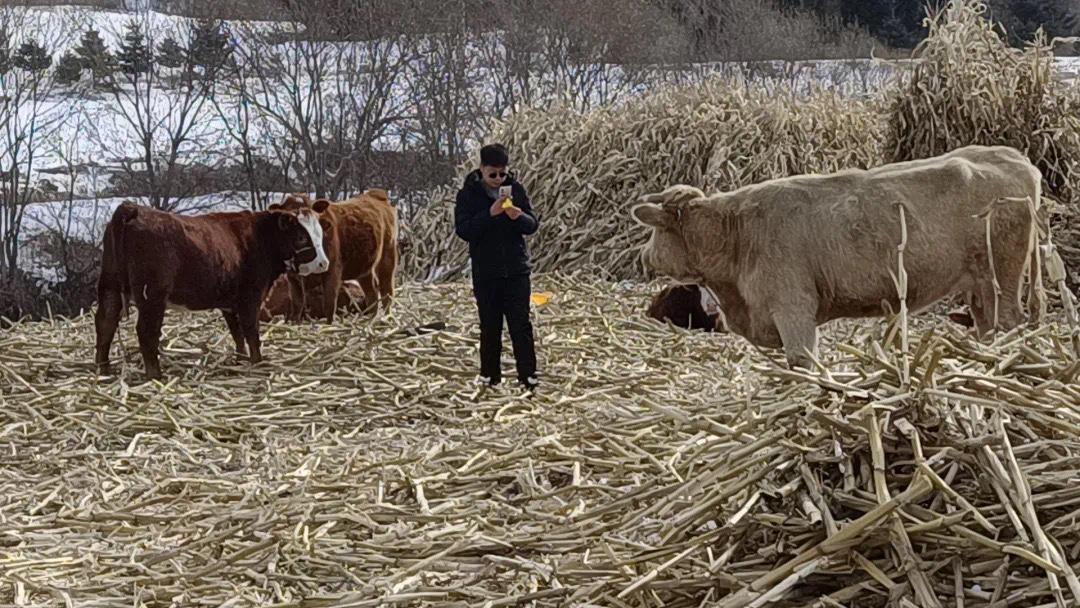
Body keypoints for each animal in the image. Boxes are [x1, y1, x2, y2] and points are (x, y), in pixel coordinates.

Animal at [92, 201, 328, 377]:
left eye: (320, 234)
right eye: (301, 237)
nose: (323, 263)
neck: (259, 237)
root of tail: (133, 209)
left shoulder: (230, 303)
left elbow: (237, 333)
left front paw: (240, 359)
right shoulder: (250, 297)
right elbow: (251, 331)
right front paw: (257, 362)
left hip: (110, 287)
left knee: (105, 324)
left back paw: (103, 369)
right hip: (152, 297)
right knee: (146, 332)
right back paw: (155, 375)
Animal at [630, 144, 1045, 369]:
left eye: (654, 231)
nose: (644, 257)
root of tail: (1012, 157)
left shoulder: (794, 309)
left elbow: (802, 364)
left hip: (1003, 277)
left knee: (1009, 323)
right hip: (980, 289)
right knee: (989, 327)